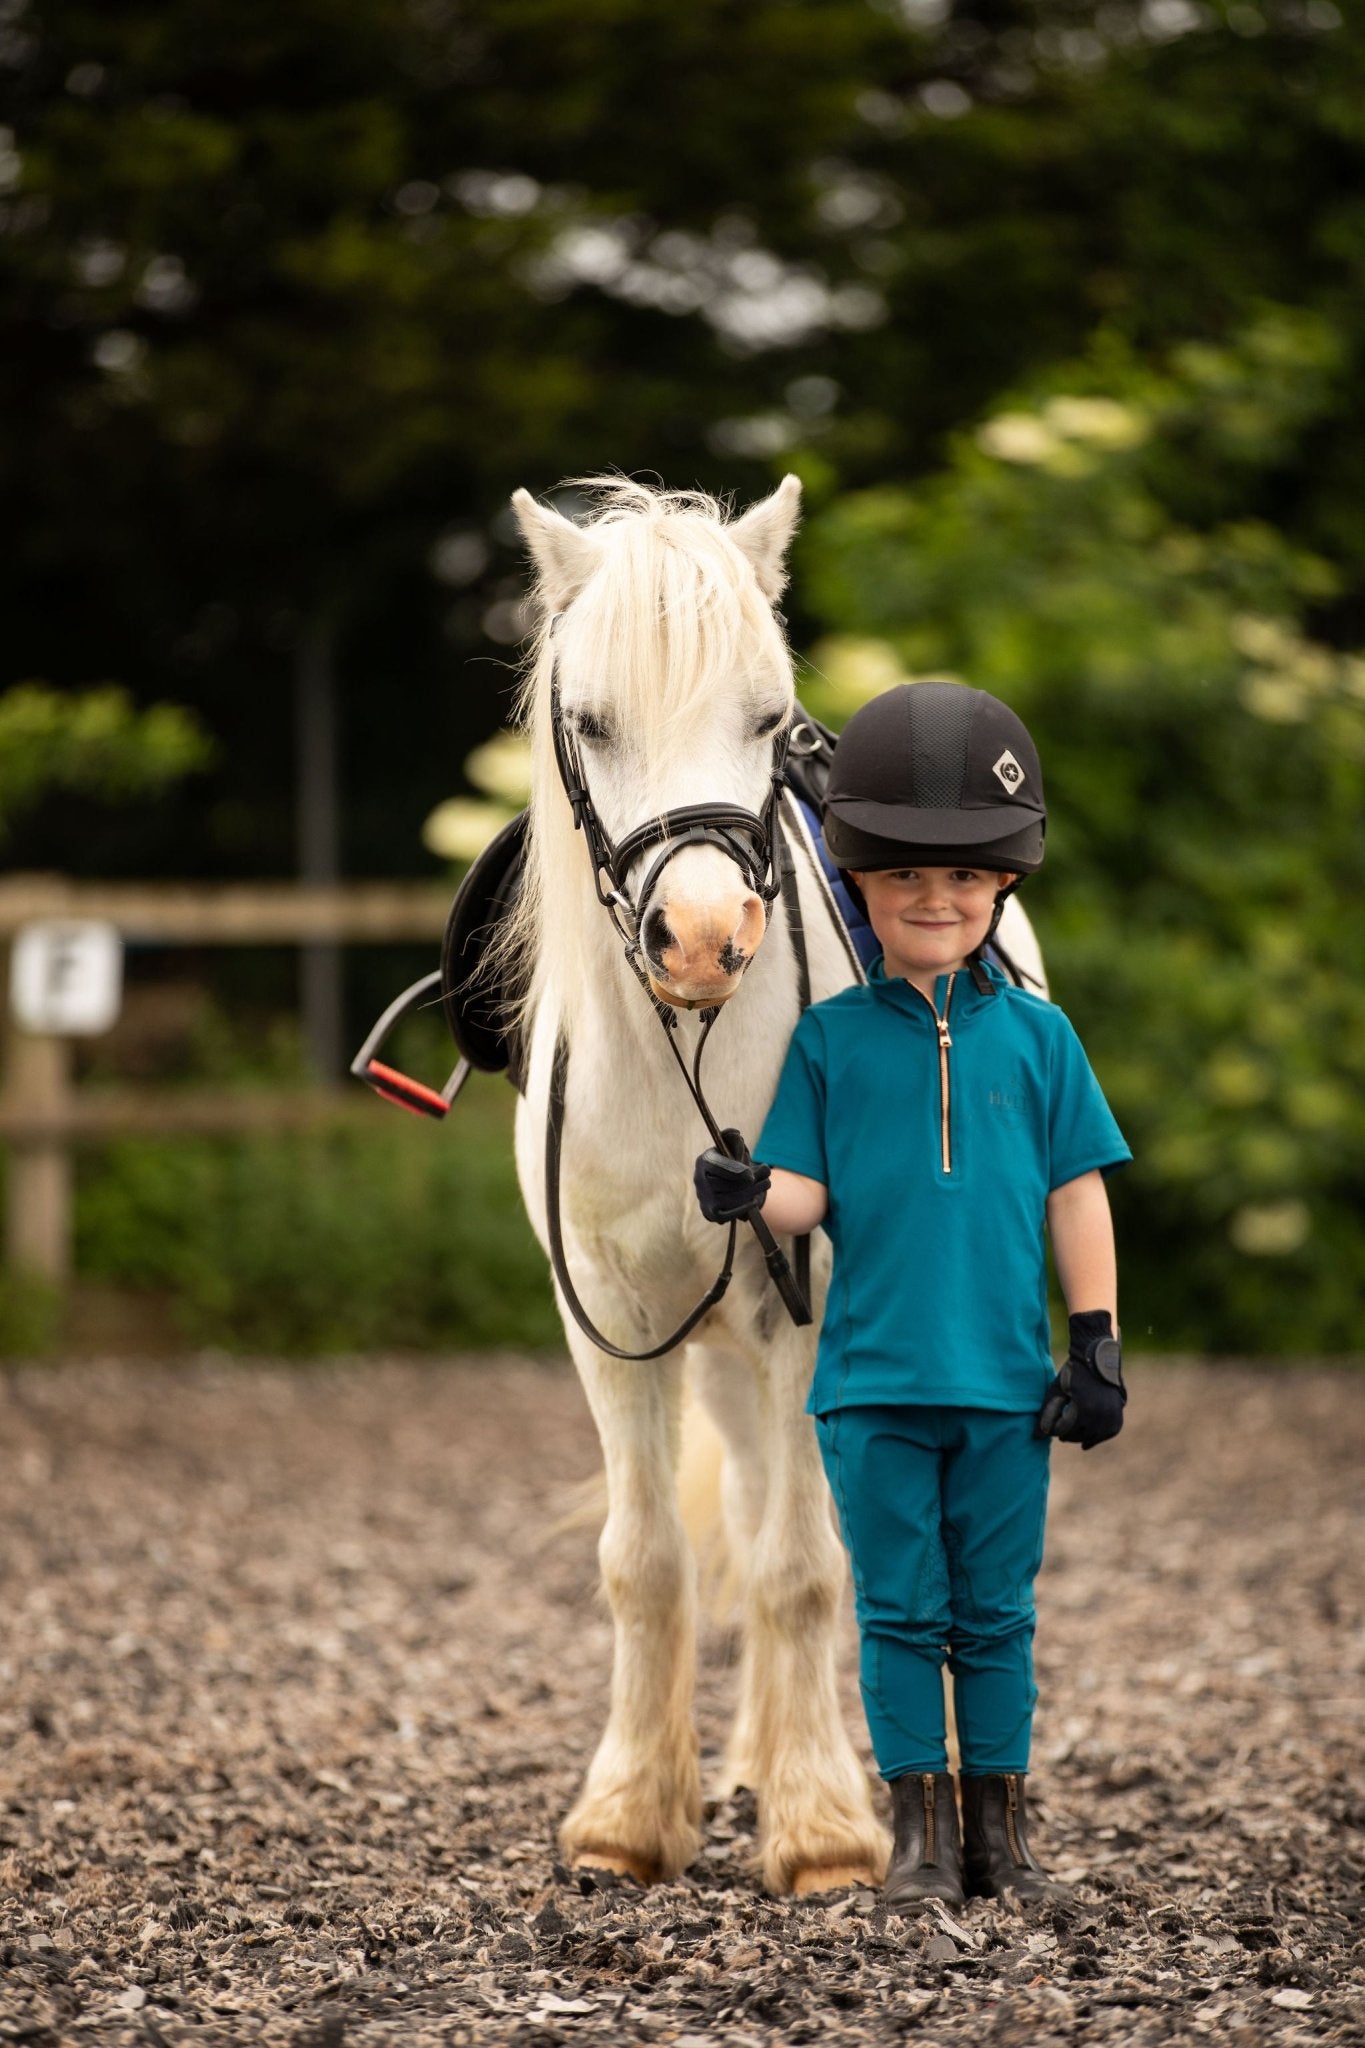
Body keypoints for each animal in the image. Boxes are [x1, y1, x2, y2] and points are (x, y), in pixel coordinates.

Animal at [507, 471, 1039, 1892]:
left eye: (762, 715)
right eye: (592, 720)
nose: (701, 939)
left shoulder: (806, 1313)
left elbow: (804, 1565)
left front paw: (822, 1829)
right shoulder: (612, 1323)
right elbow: (647, 1559)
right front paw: (629, 1817)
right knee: (741, 1510)